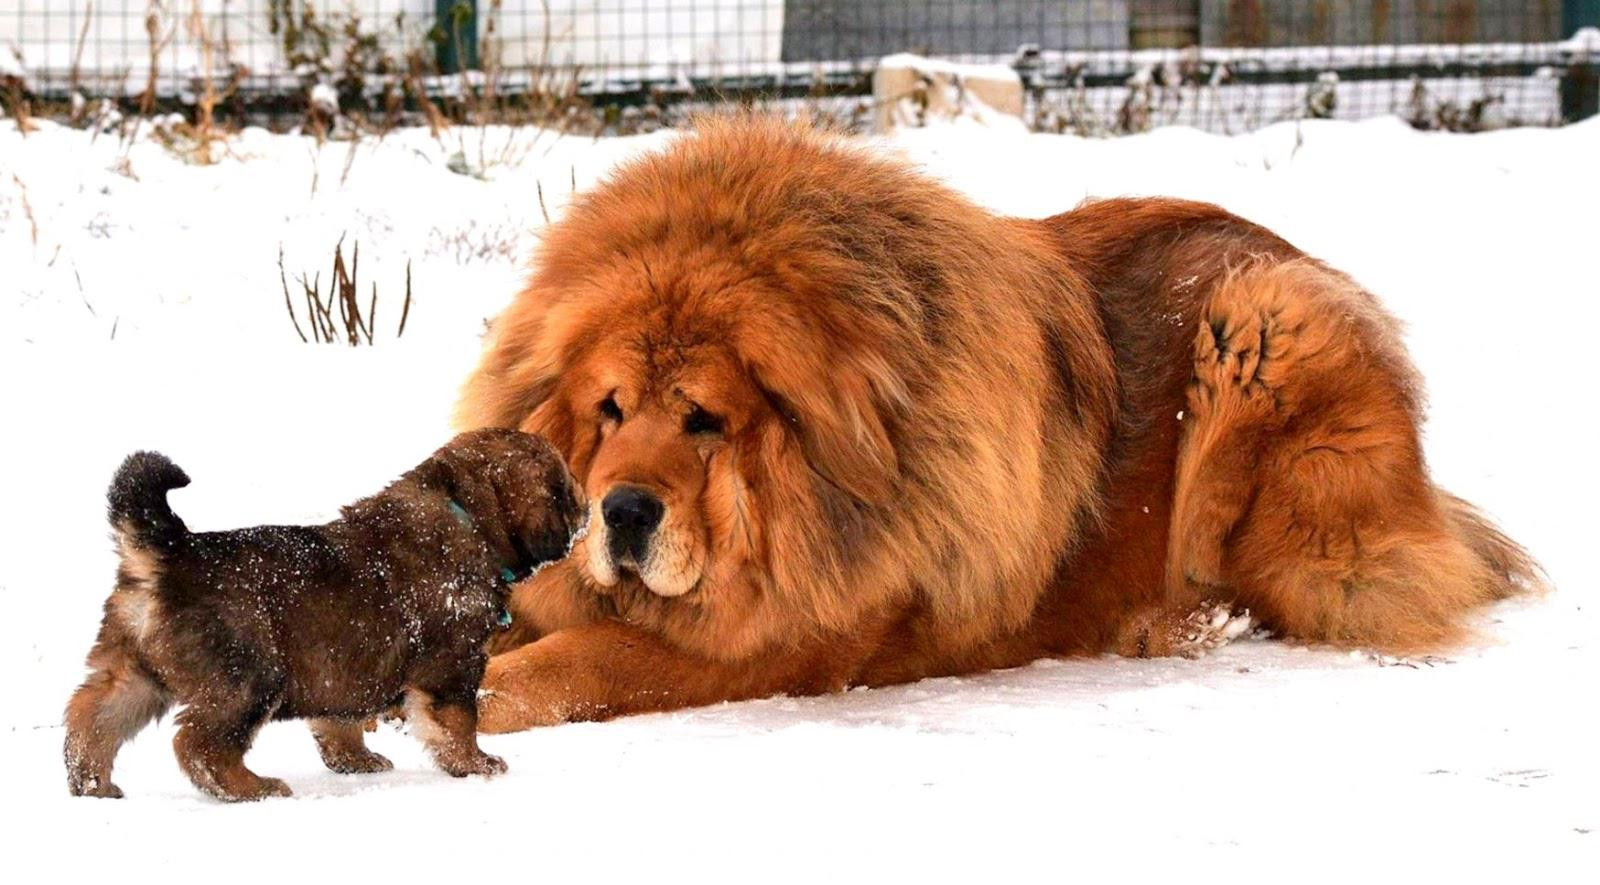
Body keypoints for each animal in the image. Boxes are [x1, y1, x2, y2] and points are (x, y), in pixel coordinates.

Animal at [65, 428, 588, 800]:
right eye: (563, 485)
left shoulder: (347, 670)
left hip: (134, 671)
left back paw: (92, 785)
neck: (467, 515)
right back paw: (251, 788)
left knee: (92, 718)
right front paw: (477, 765)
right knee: (199, 745)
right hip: (248, 678)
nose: (587, 507)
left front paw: (357, 762)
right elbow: (459, 722)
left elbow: (340, 724)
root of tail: (169, 552)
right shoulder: (453, 664)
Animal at [454, 117, 1536, 726]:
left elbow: (577, 659)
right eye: (609, 409)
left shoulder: (783, 639)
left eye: (706, 420)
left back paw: (1180, 620)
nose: (623, 512)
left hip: (1265, 327)